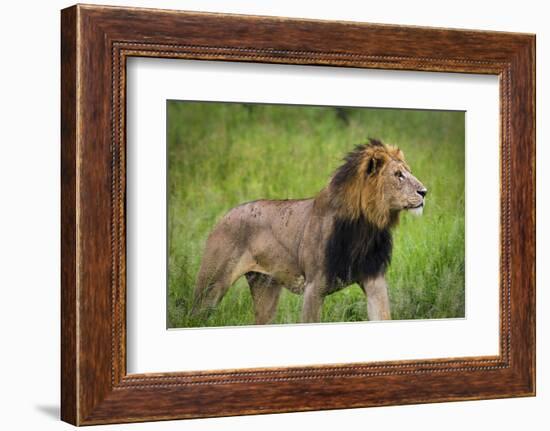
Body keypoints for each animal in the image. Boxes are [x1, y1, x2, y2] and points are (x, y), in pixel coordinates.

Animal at [192, 140, 430, 326]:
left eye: (409, 171)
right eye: (398, 175)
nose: (424, 192)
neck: (366, 227)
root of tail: (224, 216)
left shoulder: (374, 279)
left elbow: (382, 315)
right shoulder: (314, 287)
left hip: (265, 288)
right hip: (212, 285)